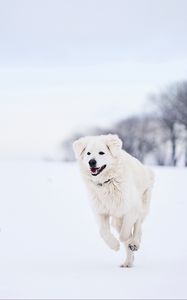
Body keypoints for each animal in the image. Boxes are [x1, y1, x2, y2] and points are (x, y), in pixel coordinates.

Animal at [72, 134, 154, 268]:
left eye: (101, 152)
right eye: (88, 153)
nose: (91, 162)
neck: (107, 182)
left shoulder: (131, 207)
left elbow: (126, 231)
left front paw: (125, 240)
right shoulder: (101, 211)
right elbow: (103, 232)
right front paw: (114, 245)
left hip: (142, 202)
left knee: (138, 226)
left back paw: (134, 243)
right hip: (117, 219)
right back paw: (127, 262)